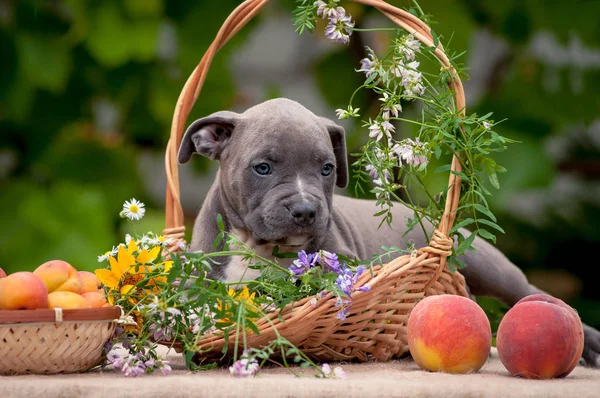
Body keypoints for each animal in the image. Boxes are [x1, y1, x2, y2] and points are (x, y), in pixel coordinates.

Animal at [178, 96, 600, 366]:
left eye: (327, 169)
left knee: (529, 292)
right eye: (262, 168)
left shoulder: (343, 263)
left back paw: (589, 341)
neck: (260, 246)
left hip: (489, 264)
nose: (306, 210)